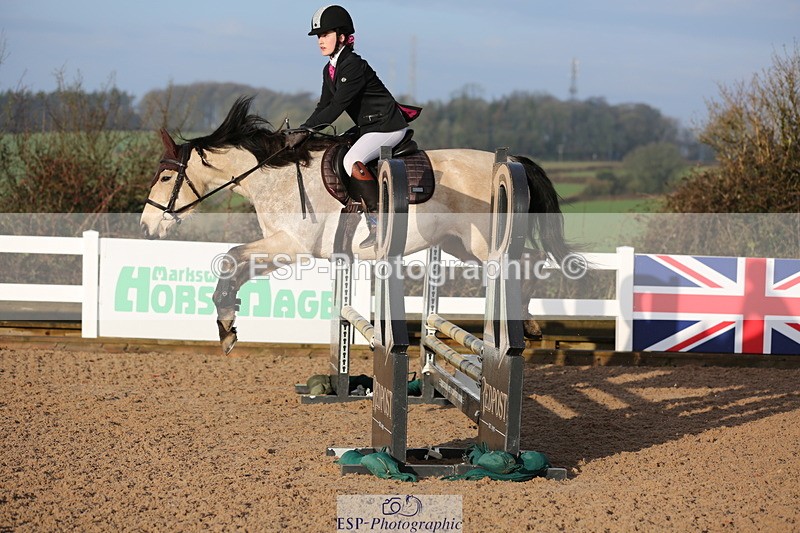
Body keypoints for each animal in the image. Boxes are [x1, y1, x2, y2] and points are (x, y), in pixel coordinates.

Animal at [140, 96, 571, 354]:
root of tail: (508, 161)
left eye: (165, 177)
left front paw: (227, 327)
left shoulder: (291, 245)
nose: (146, 226)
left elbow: (230, 258)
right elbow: (235, 263)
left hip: (483, 244)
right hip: (459, 245)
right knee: (527, 261)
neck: (274, 175)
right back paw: (529, 322)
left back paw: (525, 322)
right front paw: (227, 323)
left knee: (526, 261)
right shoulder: (280, 245)